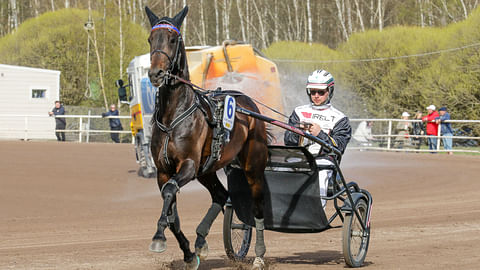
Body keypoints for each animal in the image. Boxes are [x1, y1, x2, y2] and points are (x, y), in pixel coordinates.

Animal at [143, 6, 270, 270]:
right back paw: (201, 238)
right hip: (207, 170)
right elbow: (172, 212)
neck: (174, 115)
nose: (155, 74)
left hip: (252, 166)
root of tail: (248, 103)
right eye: (151, 39)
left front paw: (158, 237)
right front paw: (189, 254)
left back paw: (259, 255)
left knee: (257, 205)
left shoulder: (188, 165)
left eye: (172, 39)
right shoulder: (163, 171)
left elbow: (169, 193)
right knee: (222, 196)